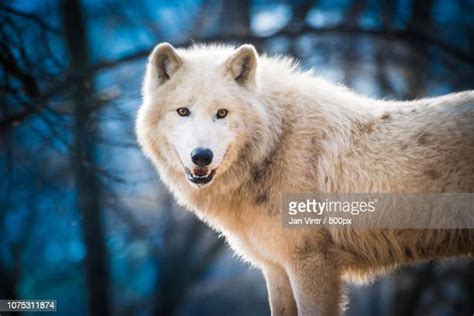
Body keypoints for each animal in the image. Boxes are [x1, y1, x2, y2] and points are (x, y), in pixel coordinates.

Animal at [135, 42, 472, 316]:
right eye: (183, 111)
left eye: (222, 113)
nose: (201, 157)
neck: (275, 142)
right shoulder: (275, 268)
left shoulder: (312, 263)